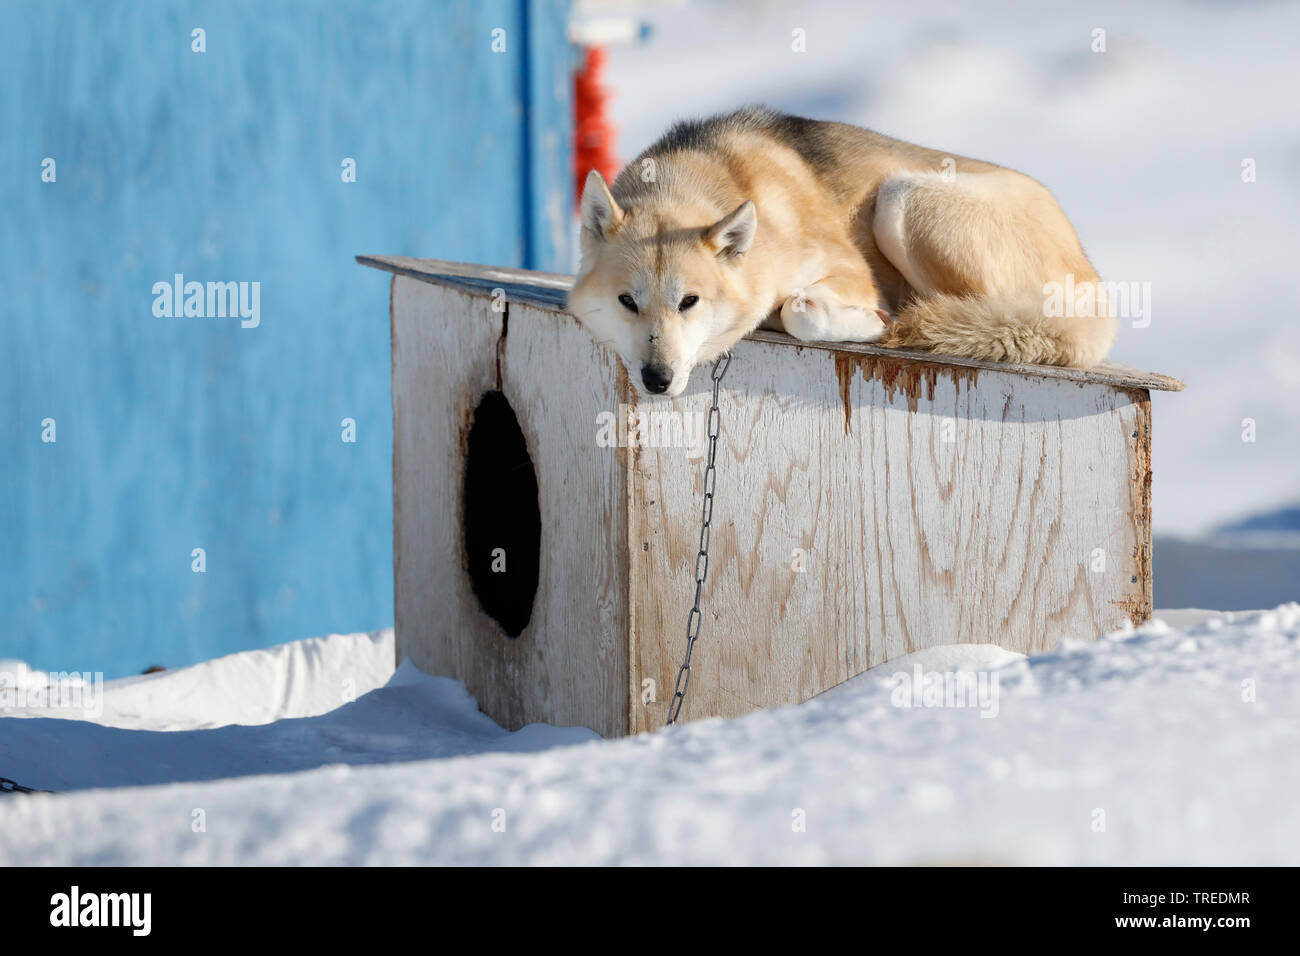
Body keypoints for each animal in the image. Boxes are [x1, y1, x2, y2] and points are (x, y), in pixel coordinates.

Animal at [569, 108, 1118, 395]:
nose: (656, 380)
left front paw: (876, 321)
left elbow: (803, 312)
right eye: (627, 302)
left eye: (689, 302)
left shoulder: (848, 270)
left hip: (902, 198)